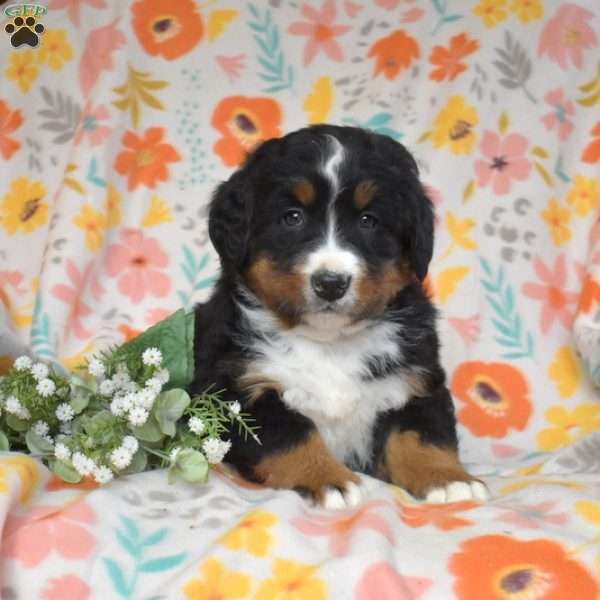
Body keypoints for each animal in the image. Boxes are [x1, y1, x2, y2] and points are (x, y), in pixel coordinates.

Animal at [192, 124, 488, 508]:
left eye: (368, 221)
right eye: (293, 217)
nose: (331, 283)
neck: (329, 342)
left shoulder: (417, 381)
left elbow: (422, 434)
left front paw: (448, 479)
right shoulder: (240, 391)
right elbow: (293, 436)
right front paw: (329, 479)